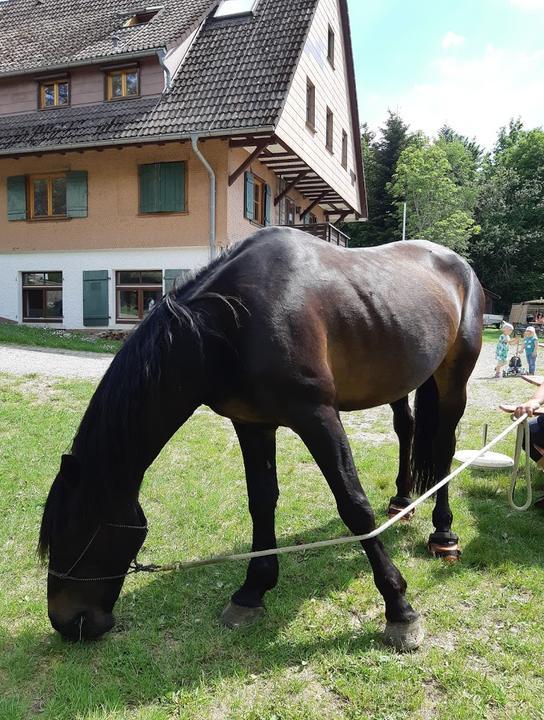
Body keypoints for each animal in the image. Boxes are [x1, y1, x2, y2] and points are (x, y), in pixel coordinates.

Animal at [39, 228, 484, 648]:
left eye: (77, 533)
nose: (67, 622)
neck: (230, 324)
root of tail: (458, 264)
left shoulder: (318, 417)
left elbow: (353, 506)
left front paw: (399, 609)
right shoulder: (251, 423)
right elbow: (261, 501)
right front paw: (253, 590)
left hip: (453, 378)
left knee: (443, 447)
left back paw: (444, 535)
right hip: (398, 376)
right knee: (406, 428)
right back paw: (402, 501)